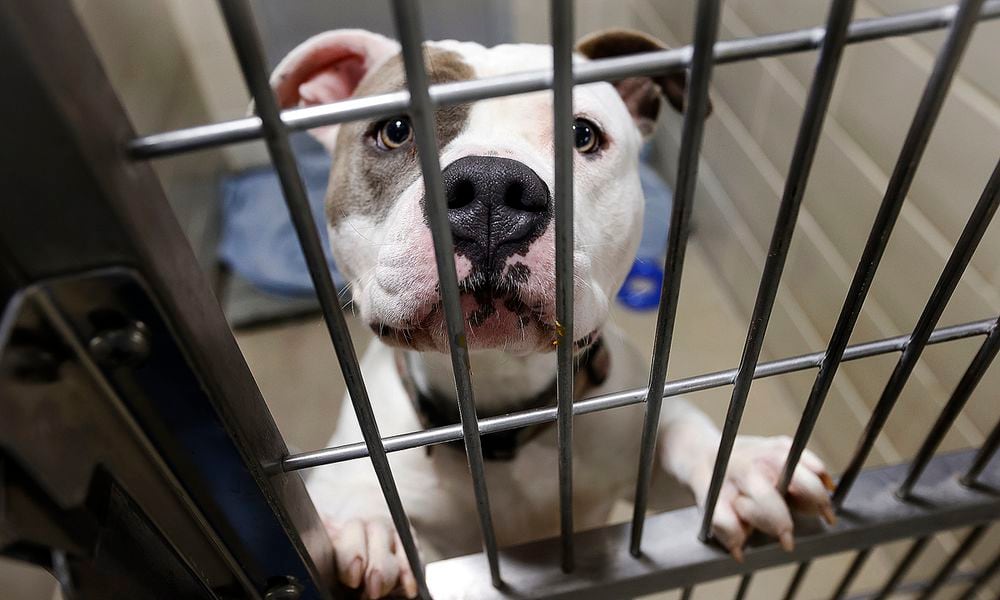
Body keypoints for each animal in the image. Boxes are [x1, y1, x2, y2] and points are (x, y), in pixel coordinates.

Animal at [268, 29, 836, 600]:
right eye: (395, 130)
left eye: (582, 135)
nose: (491, 187)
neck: (502, 407)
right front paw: (366, 526)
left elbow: (676, 427)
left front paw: (741, 464)